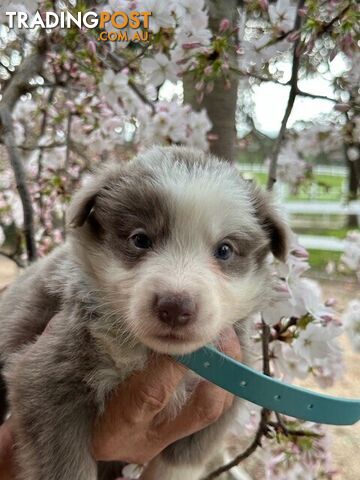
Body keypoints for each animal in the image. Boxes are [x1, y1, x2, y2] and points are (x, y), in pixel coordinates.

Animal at [0, 146, 286, 480]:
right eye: (140, 239)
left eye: (225, 250)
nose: (175, 307)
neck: (149, 352)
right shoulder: (47, 378)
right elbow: (66, 466)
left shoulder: (219, 406)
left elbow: (178, 463)